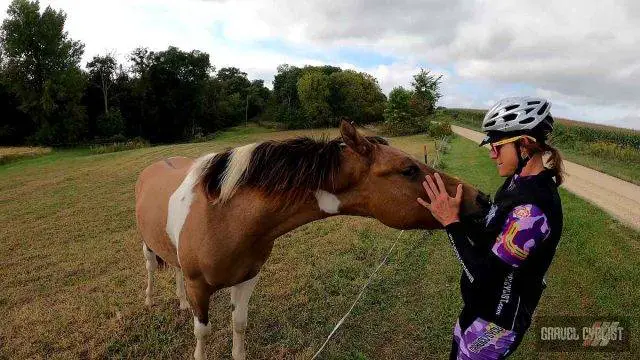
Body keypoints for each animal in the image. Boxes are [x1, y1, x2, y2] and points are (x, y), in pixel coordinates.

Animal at [134, 121, 484, 360]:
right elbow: (202, 333)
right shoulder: (199, 287)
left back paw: (179, 302)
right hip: (148, 246)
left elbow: (239, 324)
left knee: (175, 269)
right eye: (408, 170)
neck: (225, 214)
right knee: (151, 267)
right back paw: (150, 300)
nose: (479, 197)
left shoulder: (247, 278)